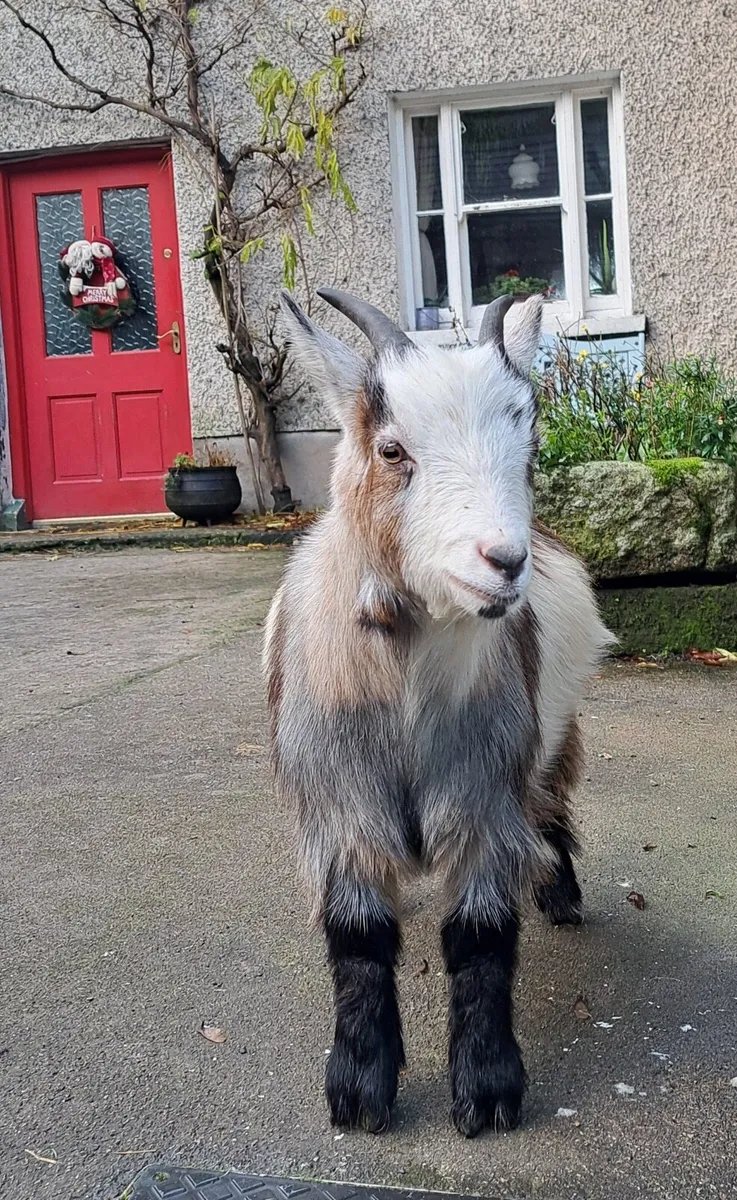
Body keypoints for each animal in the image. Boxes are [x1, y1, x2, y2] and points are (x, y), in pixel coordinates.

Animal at [265, 288, 612, 1138]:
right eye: (391, 450)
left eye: (527, 444)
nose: (504, 562)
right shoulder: (341, 800)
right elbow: (358, 936)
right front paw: (359, 1088)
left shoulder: (482, 790)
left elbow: (480, 937)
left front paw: (486, 1090)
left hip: (551, 736)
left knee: (550, 804)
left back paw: (560, 893)